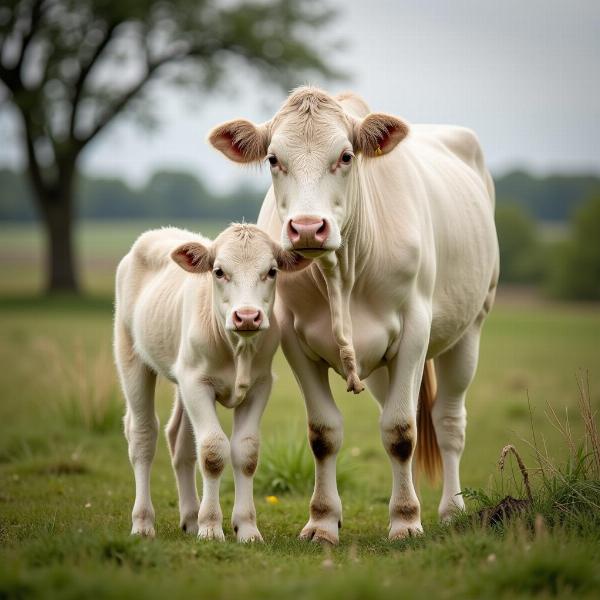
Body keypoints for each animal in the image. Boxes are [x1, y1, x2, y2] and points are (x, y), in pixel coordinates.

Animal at [114, 223, 308, 540]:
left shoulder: (260, 384)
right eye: (218, 271)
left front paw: (247, 527)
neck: (238, 350)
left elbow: (246, 451)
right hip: (130, 354)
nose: (247, 316)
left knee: (178, 440)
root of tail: (157, 232)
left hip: (180, 374)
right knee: (143, 435)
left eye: (272, 271)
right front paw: (210, 527)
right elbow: (213, 450)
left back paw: (189, 518)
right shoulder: (196, 383)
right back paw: (143, 523)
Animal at [209, 88, 500, 544]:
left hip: (471, 327)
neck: (342, 272)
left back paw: (452, 510)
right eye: (273, 158)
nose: (307, 227)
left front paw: (405, 520)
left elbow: (400, 430)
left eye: (346, 156)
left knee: (449, 422)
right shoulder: (293, 338)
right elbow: (324, 433)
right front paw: (323, 521)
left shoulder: (415, 331)